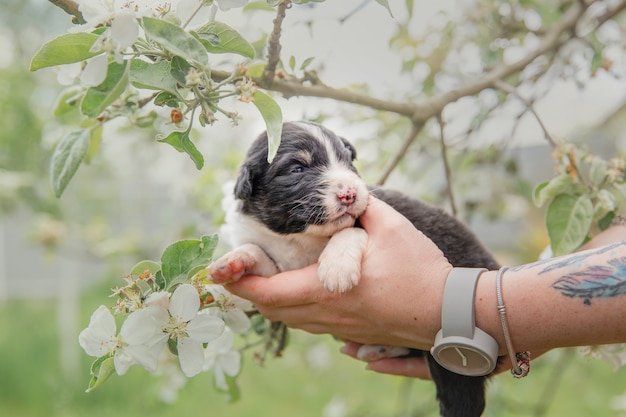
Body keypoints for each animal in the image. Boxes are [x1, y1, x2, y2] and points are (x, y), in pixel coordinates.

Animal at [207, 120, 500, 416]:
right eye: (297, 169)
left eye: (347, 162)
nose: (350, 194)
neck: (300, 238)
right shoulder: (280, 266)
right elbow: (259, 254)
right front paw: (233, 263)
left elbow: (349, 231)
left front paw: (336, 269)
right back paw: (379, 349)